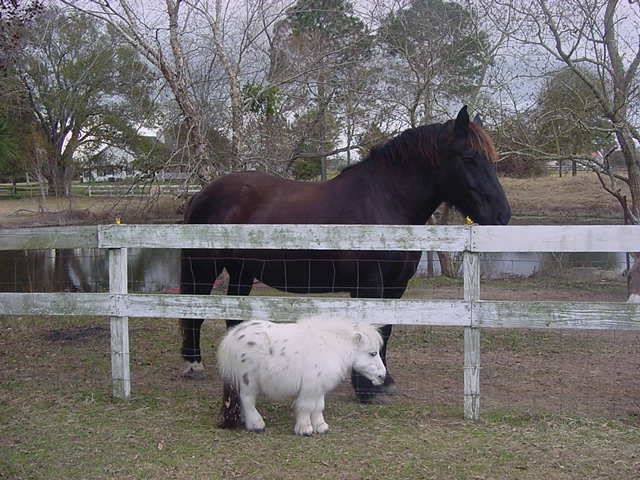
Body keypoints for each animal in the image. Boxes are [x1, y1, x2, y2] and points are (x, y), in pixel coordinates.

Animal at [216, 316, 384, 436]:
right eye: (372, 353)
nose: (382, 376)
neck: (331, 345)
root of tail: (232, 337)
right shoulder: (309, 388)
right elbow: (306, 407)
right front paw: (305, 429)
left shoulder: (318, 388)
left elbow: (318, 406)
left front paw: (321, 426)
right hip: (248, 380)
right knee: (247, 399)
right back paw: (257, 424)